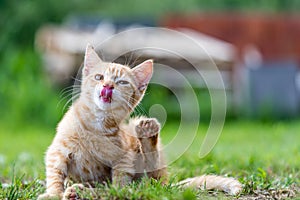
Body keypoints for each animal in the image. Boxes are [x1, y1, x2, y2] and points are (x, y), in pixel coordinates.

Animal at [38, 44, 243, 200]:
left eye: (122, 82)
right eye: (99, 77)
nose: (107, 86)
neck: (96, 125)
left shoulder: (124, 158)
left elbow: (119, 185)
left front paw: (113, 190)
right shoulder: (57, 151)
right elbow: (55, 174)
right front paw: (53, 194)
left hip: (147, 158)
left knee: (151, 180)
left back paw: (147, 135)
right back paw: (77, 191)